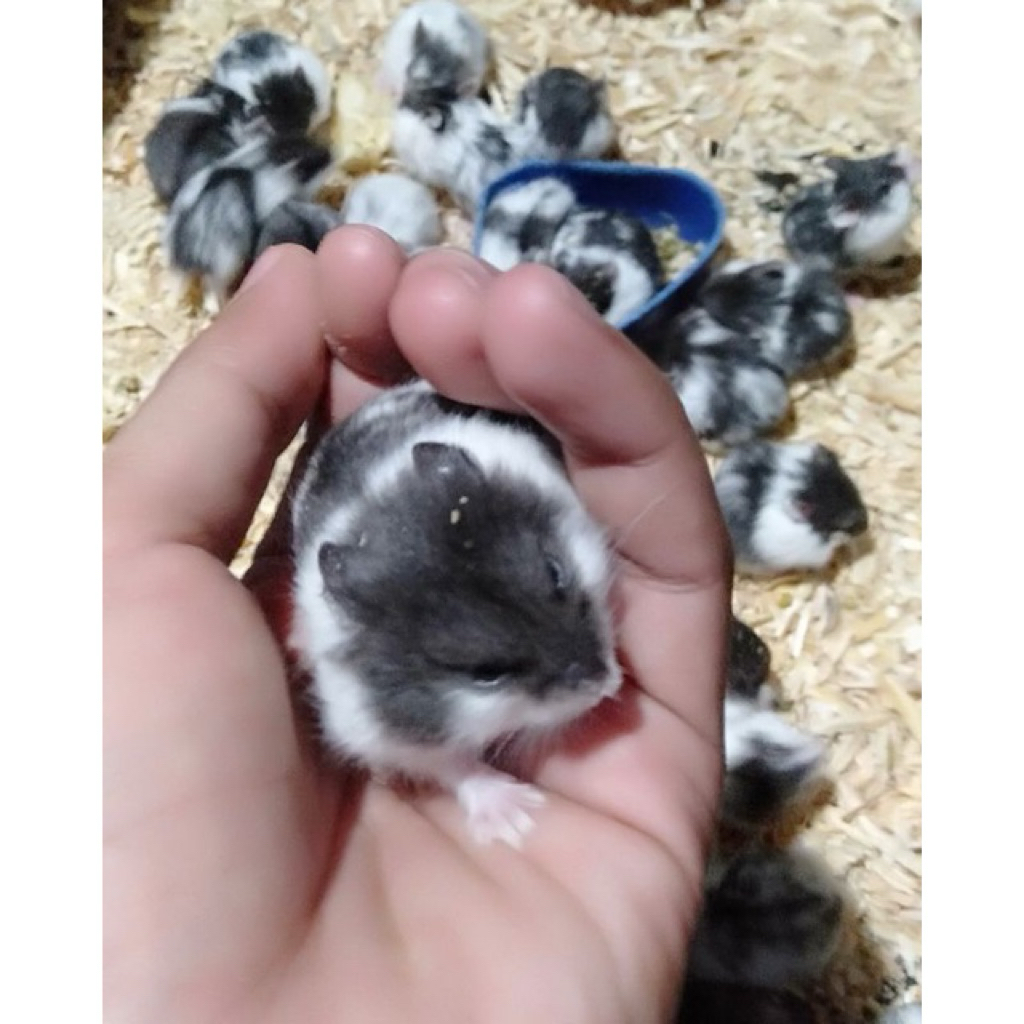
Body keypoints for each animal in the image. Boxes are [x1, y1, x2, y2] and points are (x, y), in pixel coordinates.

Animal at [163, 135, 332, 303]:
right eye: (306, 168)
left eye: (307, 140)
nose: (331, 155)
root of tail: (183, 256)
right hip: (225, 266)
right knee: (213, 289)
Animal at [289, 379, 622, 848]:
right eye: (486, 673)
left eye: (556, 573)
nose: (608, 688)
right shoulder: (380, 732)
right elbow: (454, 766)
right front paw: (519, 822)